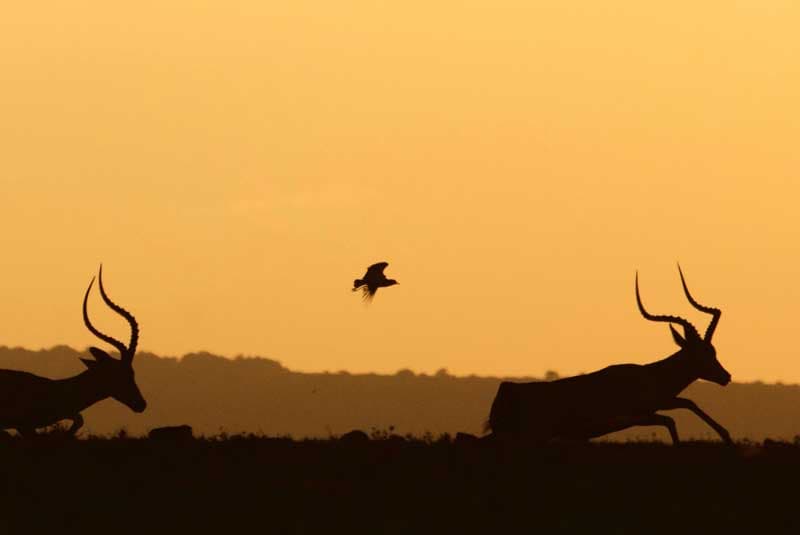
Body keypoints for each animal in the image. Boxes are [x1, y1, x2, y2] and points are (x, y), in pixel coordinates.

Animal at [0, 266, 146, 437]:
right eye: (120, 373)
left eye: (132, 372)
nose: (141, 404)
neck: (53, 389)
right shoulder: (24, 426)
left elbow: (79, 418)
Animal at [486, 266, 733, 445]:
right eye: (701, 354)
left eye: (713, 351)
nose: (726, 376)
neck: (650, 376)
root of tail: (506, 389)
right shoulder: (637, 415)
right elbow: (670, 420)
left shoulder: (660, 403)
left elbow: (688, 403)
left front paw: (727, 436)